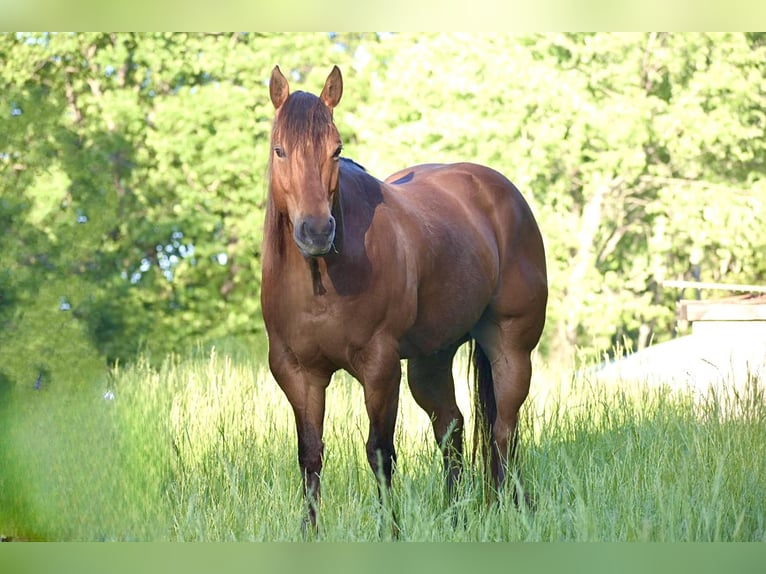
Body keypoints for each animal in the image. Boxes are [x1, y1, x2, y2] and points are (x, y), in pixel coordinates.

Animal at [260, 64, 548, 532]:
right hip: (431, 359)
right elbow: (310, 456)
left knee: (503, 430)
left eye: (336, 150)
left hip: (510, 348)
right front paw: (309, 533)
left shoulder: (379, 368)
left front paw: (390, 531)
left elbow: (379, 453)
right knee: (451, 426)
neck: (321, 282)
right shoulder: (297, 373)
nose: (317, 231)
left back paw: (508, 509)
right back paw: (456, 517)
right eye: (279, 150)